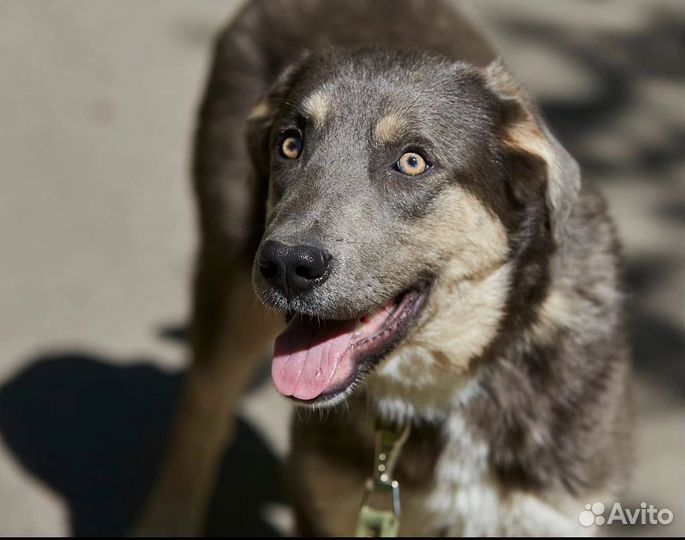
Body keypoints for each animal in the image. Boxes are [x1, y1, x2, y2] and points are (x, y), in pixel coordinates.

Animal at [138, 0, 632, 536]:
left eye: (412, 162)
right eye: (290, 145)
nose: (287, 265)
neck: (442, 391)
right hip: (229, 289)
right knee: (201, 411)